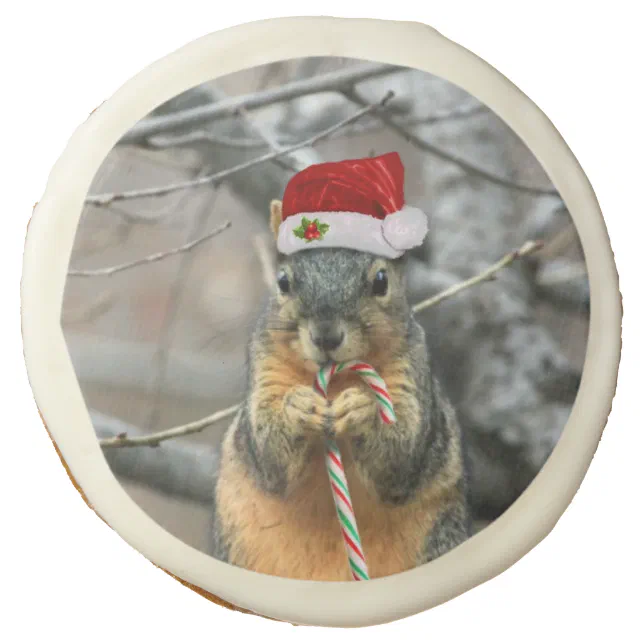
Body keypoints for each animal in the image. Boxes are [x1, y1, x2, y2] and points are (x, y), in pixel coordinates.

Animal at [211, 155, 471, 581]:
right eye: (283, 281)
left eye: (381, 281)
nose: (326, 336)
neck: (335, 382)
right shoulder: (265, 369)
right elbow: (268, 455)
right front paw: (298, 408)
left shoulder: (410, 375)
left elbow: (401, 456)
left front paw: (362, 409)